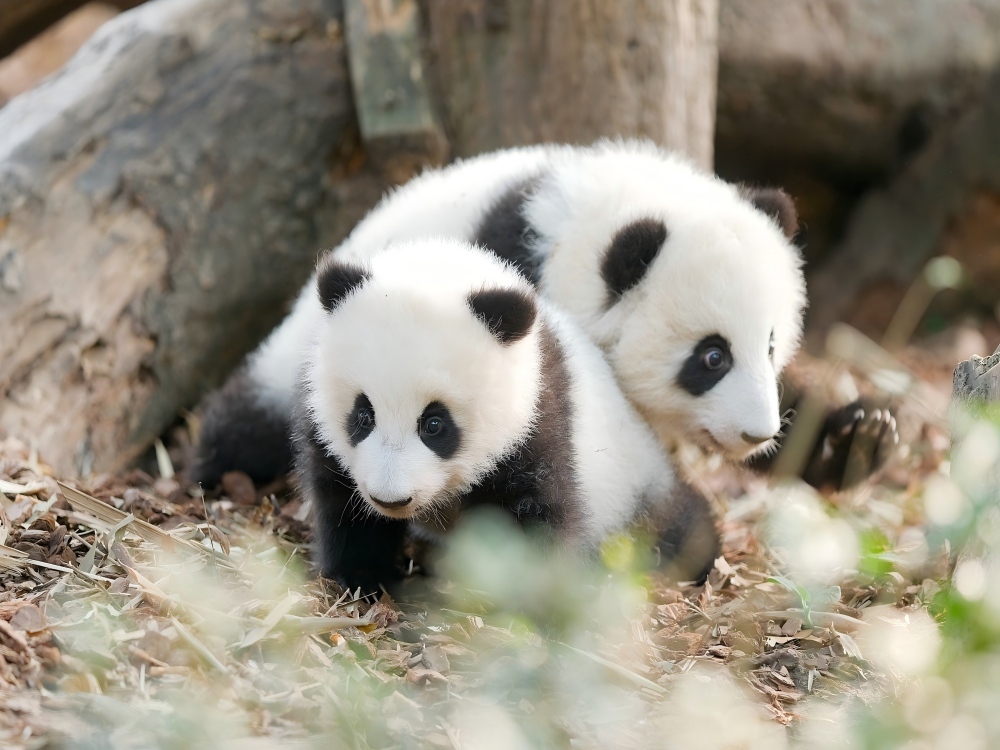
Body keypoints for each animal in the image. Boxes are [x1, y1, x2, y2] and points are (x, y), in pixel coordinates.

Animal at [193, 139, 895, 493]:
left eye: (773, 346)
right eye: (712, 356)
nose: (758, 432)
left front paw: (859, 436)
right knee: (256, 411)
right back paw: (218, 468)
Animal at [293, 238, 718, 590]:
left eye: (434, 424)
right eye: (363, 416)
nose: (392, 499)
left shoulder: (537, 419)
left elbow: (541, 514)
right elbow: (341, 502)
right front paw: (361, 577)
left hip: (633, 484)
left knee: (671, 529)